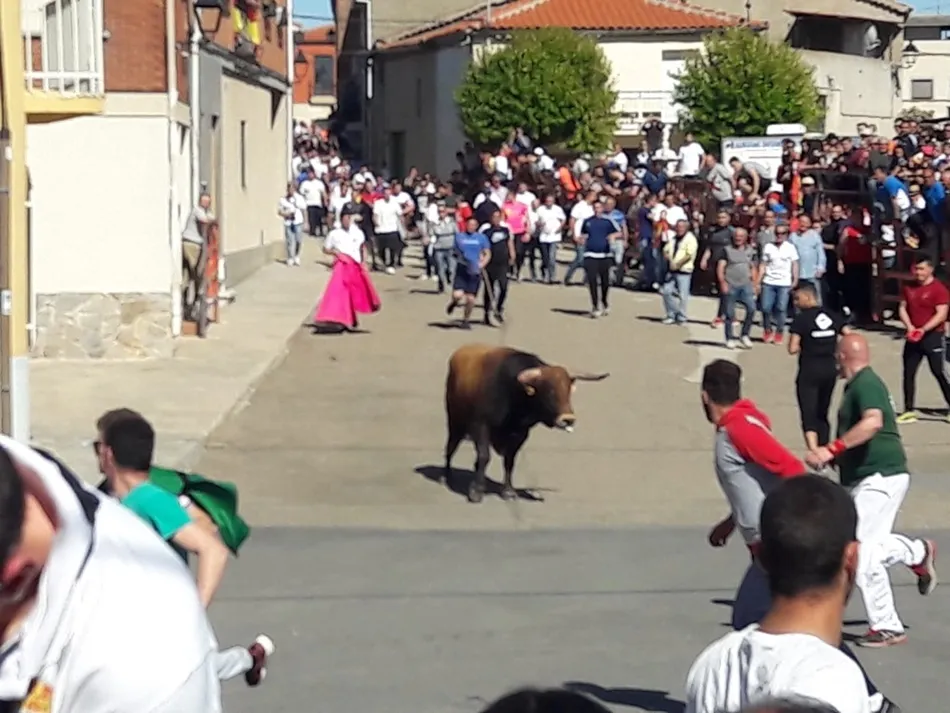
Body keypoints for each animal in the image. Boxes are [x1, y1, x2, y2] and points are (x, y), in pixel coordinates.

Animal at [443, 344, 609, 503]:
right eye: (549, 391)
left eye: (568, 391)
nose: (568, 419)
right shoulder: (481, 426)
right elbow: (484, 456)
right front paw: (476, 491)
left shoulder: (520, 435)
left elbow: (509, 461)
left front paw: (509, 491)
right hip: (454, 422)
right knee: (451, 447)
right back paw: (446, 476)